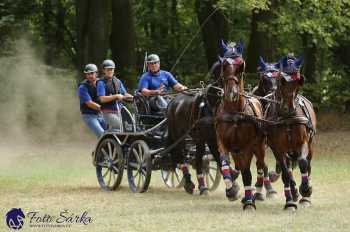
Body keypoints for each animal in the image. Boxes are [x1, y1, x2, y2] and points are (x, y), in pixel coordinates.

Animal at [213, 52, 274, 210]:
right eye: (224, 68)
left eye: (241, 69)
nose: (231, 93)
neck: (235, 113)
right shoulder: (222, 142)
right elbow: (224, 164)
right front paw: (231, 191)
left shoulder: (247, 147)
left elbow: (247, 173)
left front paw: (249, 203)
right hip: (237, 151)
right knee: (239, 166)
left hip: (259, 147)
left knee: (260, 166)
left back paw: (256, 193)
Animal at [266, 54, 318, 210]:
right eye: (282, 80)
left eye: (298, 82)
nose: (288, 109)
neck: (287, 118)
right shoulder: (278, 149)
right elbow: (285, 174)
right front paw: (290, 200)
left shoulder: (303, 143)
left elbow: (303, 163)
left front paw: (305, 189)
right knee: (288, 170)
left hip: (310, 145)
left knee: (308, 164)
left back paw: (305, 197)